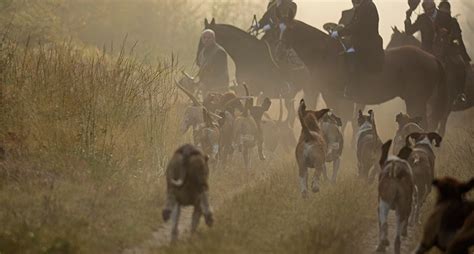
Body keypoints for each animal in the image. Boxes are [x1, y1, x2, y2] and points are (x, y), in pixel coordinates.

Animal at [276, 18, 450, 136]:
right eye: (280, 29)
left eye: (289, 30)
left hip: (415, 100)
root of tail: (433, 58)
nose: (279, 52)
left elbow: (341, 119)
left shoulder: (333, 96)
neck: (325, 54)